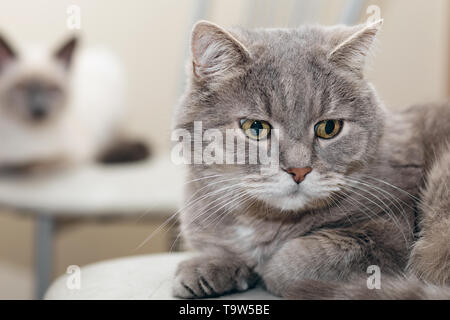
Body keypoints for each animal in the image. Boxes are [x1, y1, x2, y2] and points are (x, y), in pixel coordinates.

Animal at [171, 20, 446, 298]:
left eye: (329, 128)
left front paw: (266, 269)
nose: (299, 170)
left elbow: (297, 261)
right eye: (255, 127)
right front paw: (207, 266)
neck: (265, 219)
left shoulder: (390, 230)